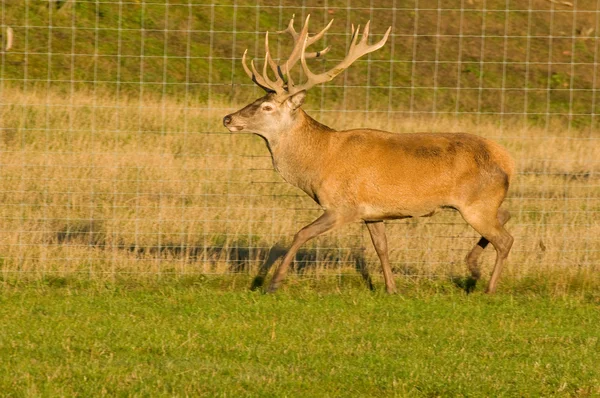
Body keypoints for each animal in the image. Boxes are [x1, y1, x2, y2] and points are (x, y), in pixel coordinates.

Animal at [223, 15, 512, 294]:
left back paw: (487, 287)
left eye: (267, 107)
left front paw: (272, 284)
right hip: (483, 203)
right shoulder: (372, 213)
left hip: (476, 203)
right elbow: (381, 247)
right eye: (255, 100)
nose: (228, 118)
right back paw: (473, 268)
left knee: (505, 239)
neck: (319, 162)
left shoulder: (342, 206)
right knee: (505, 217)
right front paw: (391, 289)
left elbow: (301, 234)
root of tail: (508, 162)